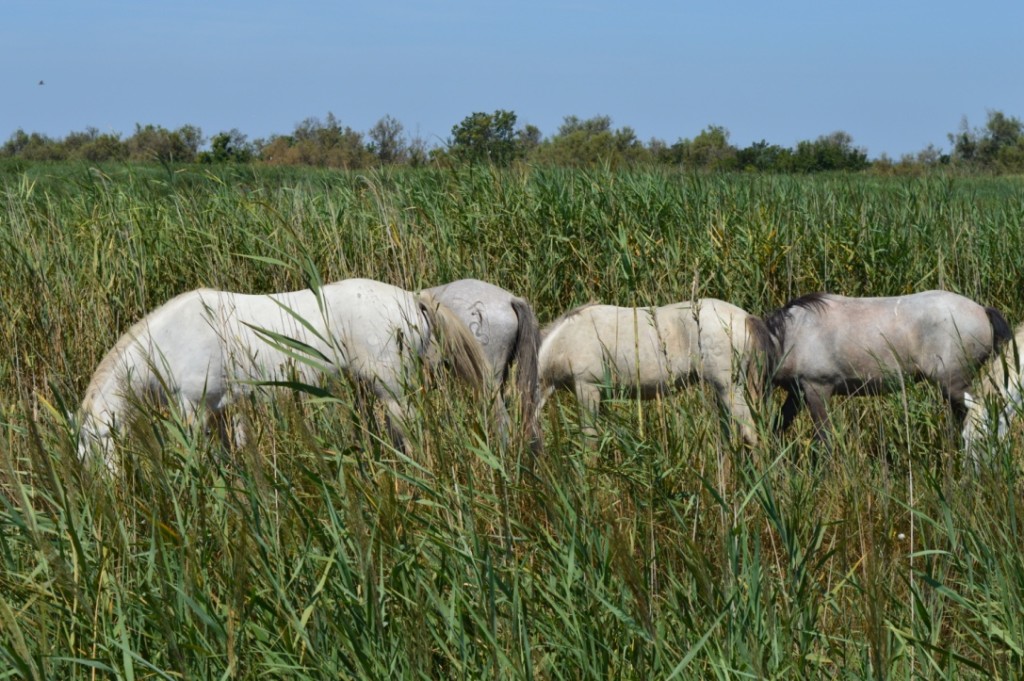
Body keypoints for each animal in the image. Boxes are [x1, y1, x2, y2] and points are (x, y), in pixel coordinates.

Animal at [76, 276, 487, 466]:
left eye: (92, 451)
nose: (102, 502)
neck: (171, 338)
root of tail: (411, 299)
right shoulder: (221, 409)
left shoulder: (193, 408)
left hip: (392, 389)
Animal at [536, 299, 770, 446]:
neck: (564, 341)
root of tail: (745, 317)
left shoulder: (587, 387)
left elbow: (589, 440)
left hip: (729, 388)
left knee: (751, 434)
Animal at [765, 288, 1011, 444]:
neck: (791, 334)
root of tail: (982, 310)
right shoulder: (797, 393)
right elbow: (777, 426)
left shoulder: (817, 388)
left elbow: (823, 439)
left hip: (955, 383)